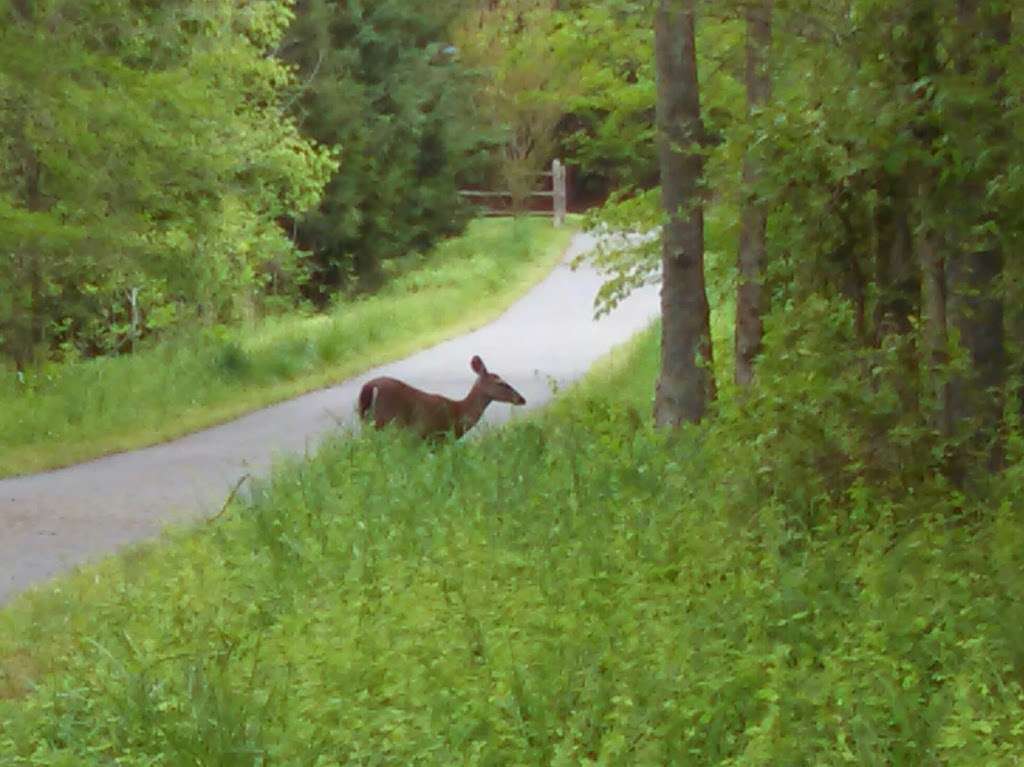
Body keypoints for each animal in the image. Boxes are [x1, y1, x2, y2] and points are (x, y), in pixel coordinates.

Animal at [356, 354, 524, 440]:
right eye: (501, 383)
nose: (522, 399)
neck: (458, 412)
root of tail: (368, 388)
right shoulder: (436, 436)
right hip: (389, 421)